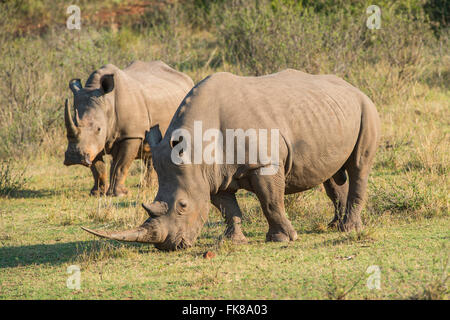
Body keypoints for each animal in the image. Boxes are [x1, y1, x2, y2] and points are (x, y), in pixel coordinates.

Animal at [63, 59, 193, 195]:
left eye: (99, 129)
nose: (74, 157)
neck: (107, 104)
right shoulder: (92, 143)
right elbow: (97, 167)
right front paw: (97, 193)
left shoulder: (131, 135)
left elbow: (120, 165)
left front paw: (119, 194)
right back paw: (146, 186)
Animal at [81, 70, 380, 250]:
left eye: (182, 206)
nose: (171, 246)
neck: (198, 148)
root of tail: (353, 87)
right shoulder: (211, 175)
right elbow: (227, 209)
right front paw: (234, 241)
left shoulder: (264, 165)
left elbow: (271, 202)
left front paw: (283, 238)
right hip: (330, 112)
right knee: (333, 175)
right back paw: (335, 226)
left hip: (366, 107)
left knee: (358, 167)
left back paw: (349, 229)